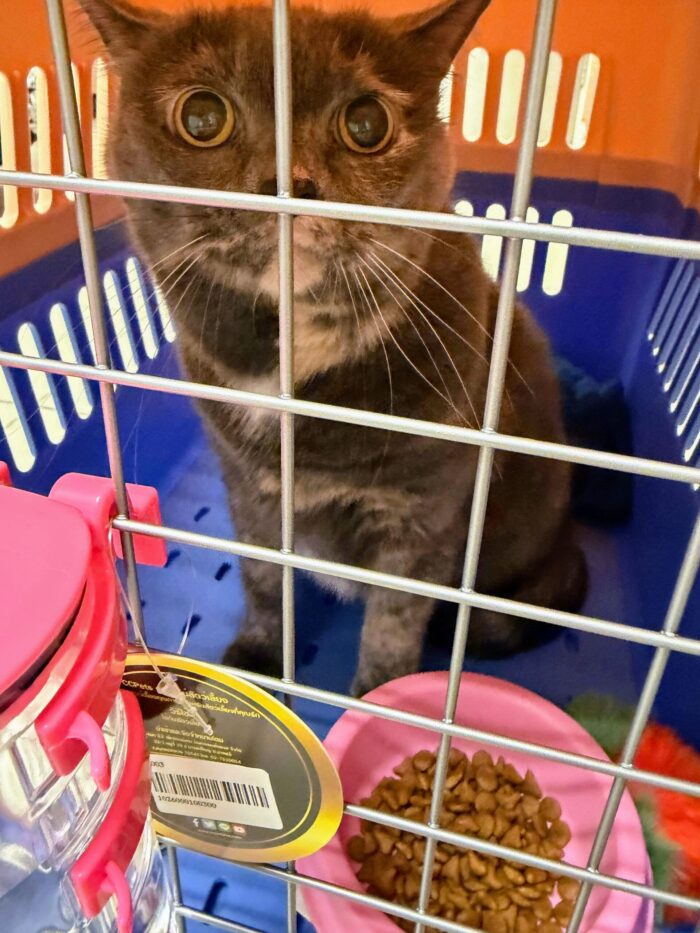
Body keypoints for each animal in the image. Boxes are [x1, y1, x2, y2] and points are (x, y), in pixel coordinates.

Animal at [80, 0, 587, 696]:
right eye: (202, 117)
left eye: (366, 124)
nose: (288, 182)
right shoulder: (248, 490)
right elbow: (264, 581)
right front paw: (260, 654)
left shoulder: (423, 511)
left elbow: (395, 618)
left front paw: (383, 695)